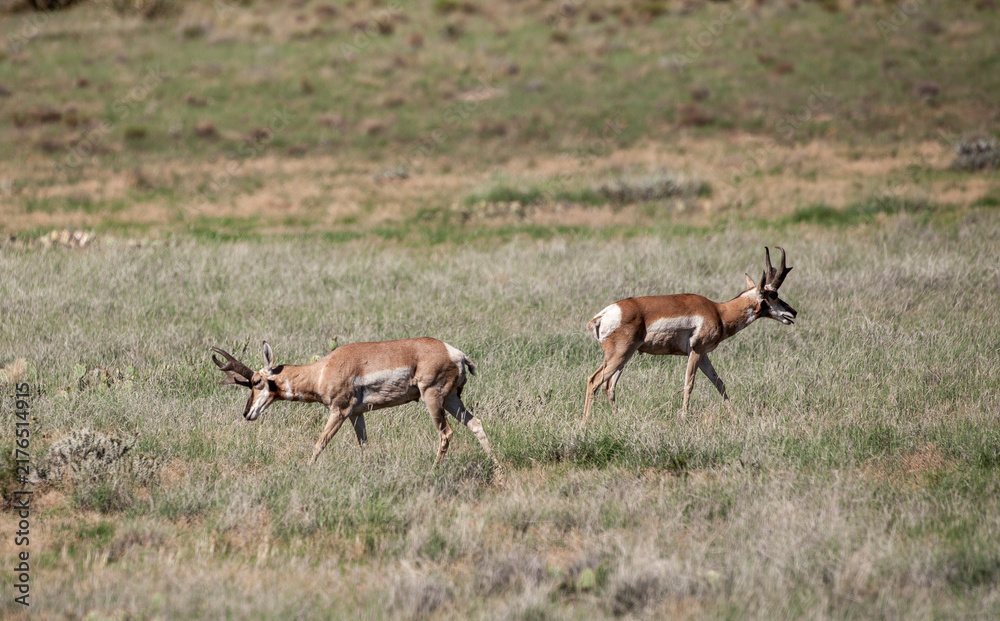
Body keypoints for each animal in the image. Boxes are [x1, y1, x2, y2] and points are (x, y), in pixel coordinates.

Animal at [211, 338, 499, 468]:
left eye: (256, 381)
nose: (247, 413)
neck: (324, 368)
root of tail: (455, 353)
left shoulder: (339, 411)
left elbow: (319, 443)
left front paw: (306, 469)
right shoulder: (356, 415)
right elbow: (364, 445)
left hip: (433, 399)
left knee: (445, 433)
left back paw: (432, 470)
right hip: (452, 399)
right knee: (476, 424)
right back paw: (497, 469)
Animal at [583, 247, 796, 423]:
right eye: (774, 295)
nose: (793, 312)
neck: (719, 311)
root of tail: (604, 314)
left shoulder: (704, 355)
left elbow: (719, 383)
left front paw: (734, 417)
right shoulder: (696, 351)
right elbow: (689, 384)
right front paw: (684, 418)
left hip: (624, 357)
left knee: (609, 385)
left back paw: (617, 418)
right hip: (619, 355)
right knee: (594, 380)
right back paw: (585, 424)